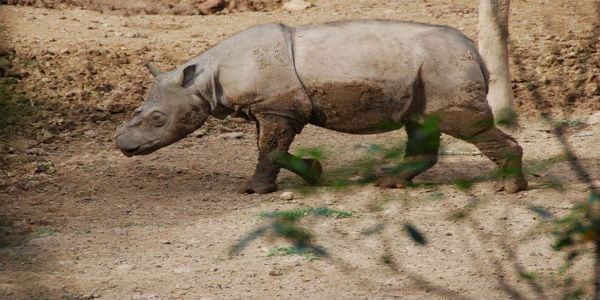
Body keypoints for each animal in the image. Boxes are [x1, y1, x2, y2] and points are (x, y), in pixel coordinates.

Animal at [115, 21, 528, 195]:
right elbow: (269, 149)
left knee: (464, 125)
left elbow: (270, 150)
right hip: (428, 72)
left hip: (445, 66)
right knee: (421, 123)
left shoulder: (279, 108)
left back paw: (508, 189)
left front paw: (254, 191)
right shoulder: (270, 108)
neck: (205, 77)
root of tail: (474, 49)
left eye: (157, 118)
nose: (123, 146)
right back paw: (389, 182)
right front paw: (312, 173)